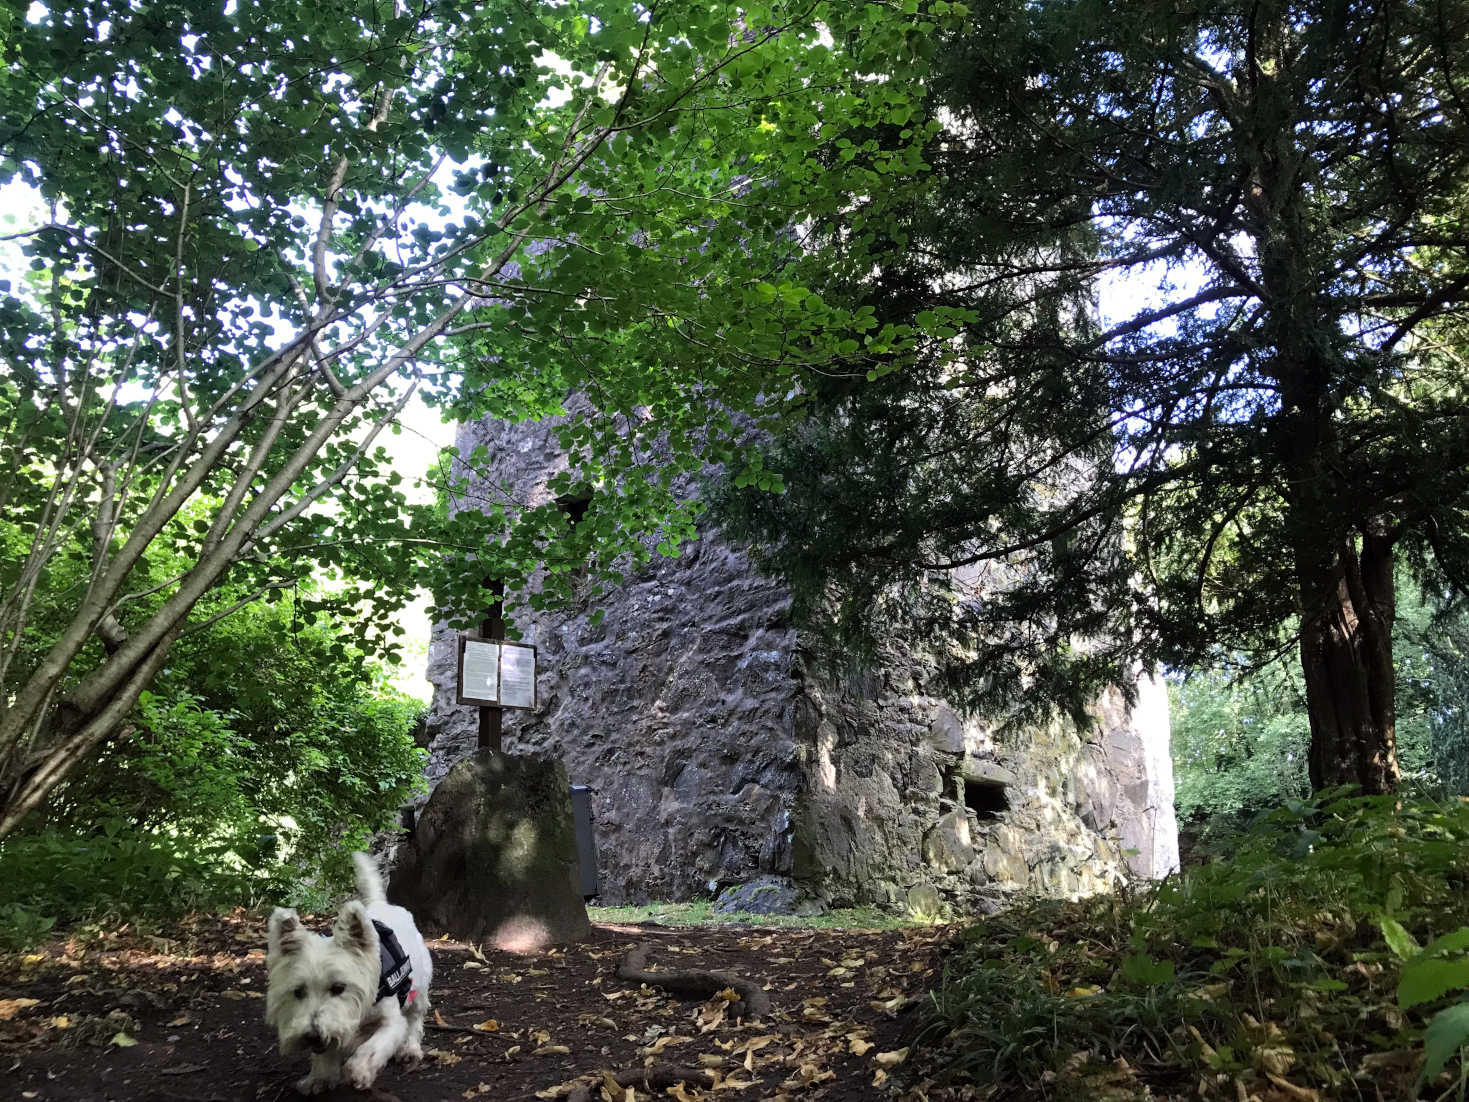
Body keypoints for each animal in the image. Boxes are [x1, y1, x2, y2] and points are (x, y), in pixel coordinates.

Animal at [267, 852, 431, 1099]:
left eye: (339, 988)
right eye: (298, 991)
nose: (312, 1036)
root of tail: (383, 905)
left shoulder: (391, 1022)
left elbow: (373, 1045)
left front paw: (359, 1069)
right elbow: (328, 1051)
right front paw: (319, 1077)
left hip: (419, 988)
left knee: (415, 1018)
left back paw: (410, 1049)